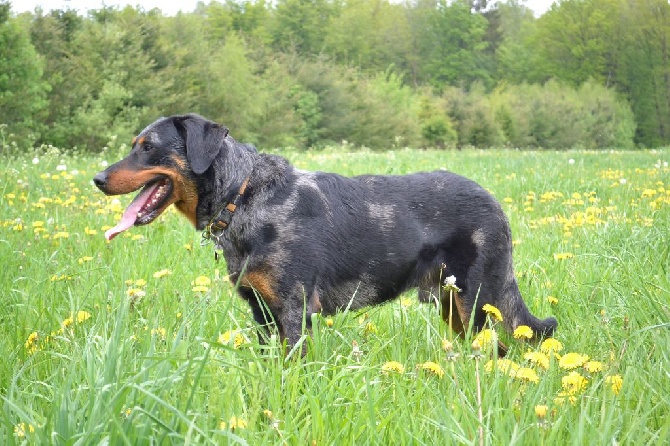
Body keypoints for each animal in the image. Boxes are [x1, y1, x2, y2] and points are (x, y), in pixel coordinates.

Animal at [93, 113, 556, 354]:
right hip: (452, 305)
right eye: (135, 144)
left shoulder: (294, 311)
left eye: (148, 147)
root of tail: (496, 203)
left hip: (480, 299)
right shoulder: (262, 313)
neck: (242, 196)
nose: (97, 178)